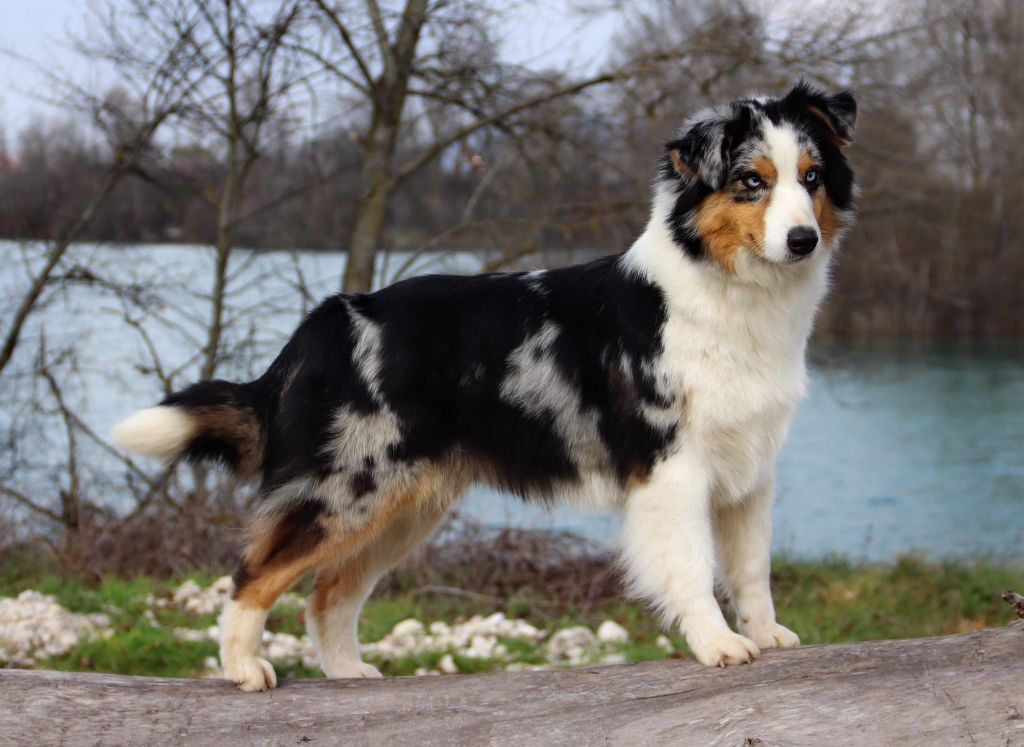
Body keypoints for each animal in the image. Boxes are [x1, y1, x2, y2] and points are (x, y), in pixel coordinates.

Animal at [114, 79, 856, 688]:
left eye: (811, 177)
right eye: (750, 181)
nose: (803, 240)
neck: (729, 294)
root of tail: (326, 319)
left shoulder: (750, 469)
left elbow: (752, 569)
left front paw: (766, 633)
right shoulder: (673, 468)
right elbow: (695, 568)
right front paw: (718, 644)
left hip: (403, 504)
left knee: (330, 593)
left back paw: (349, 673)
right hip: (346, 488)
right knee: (253, 574)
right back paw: (243, 668)